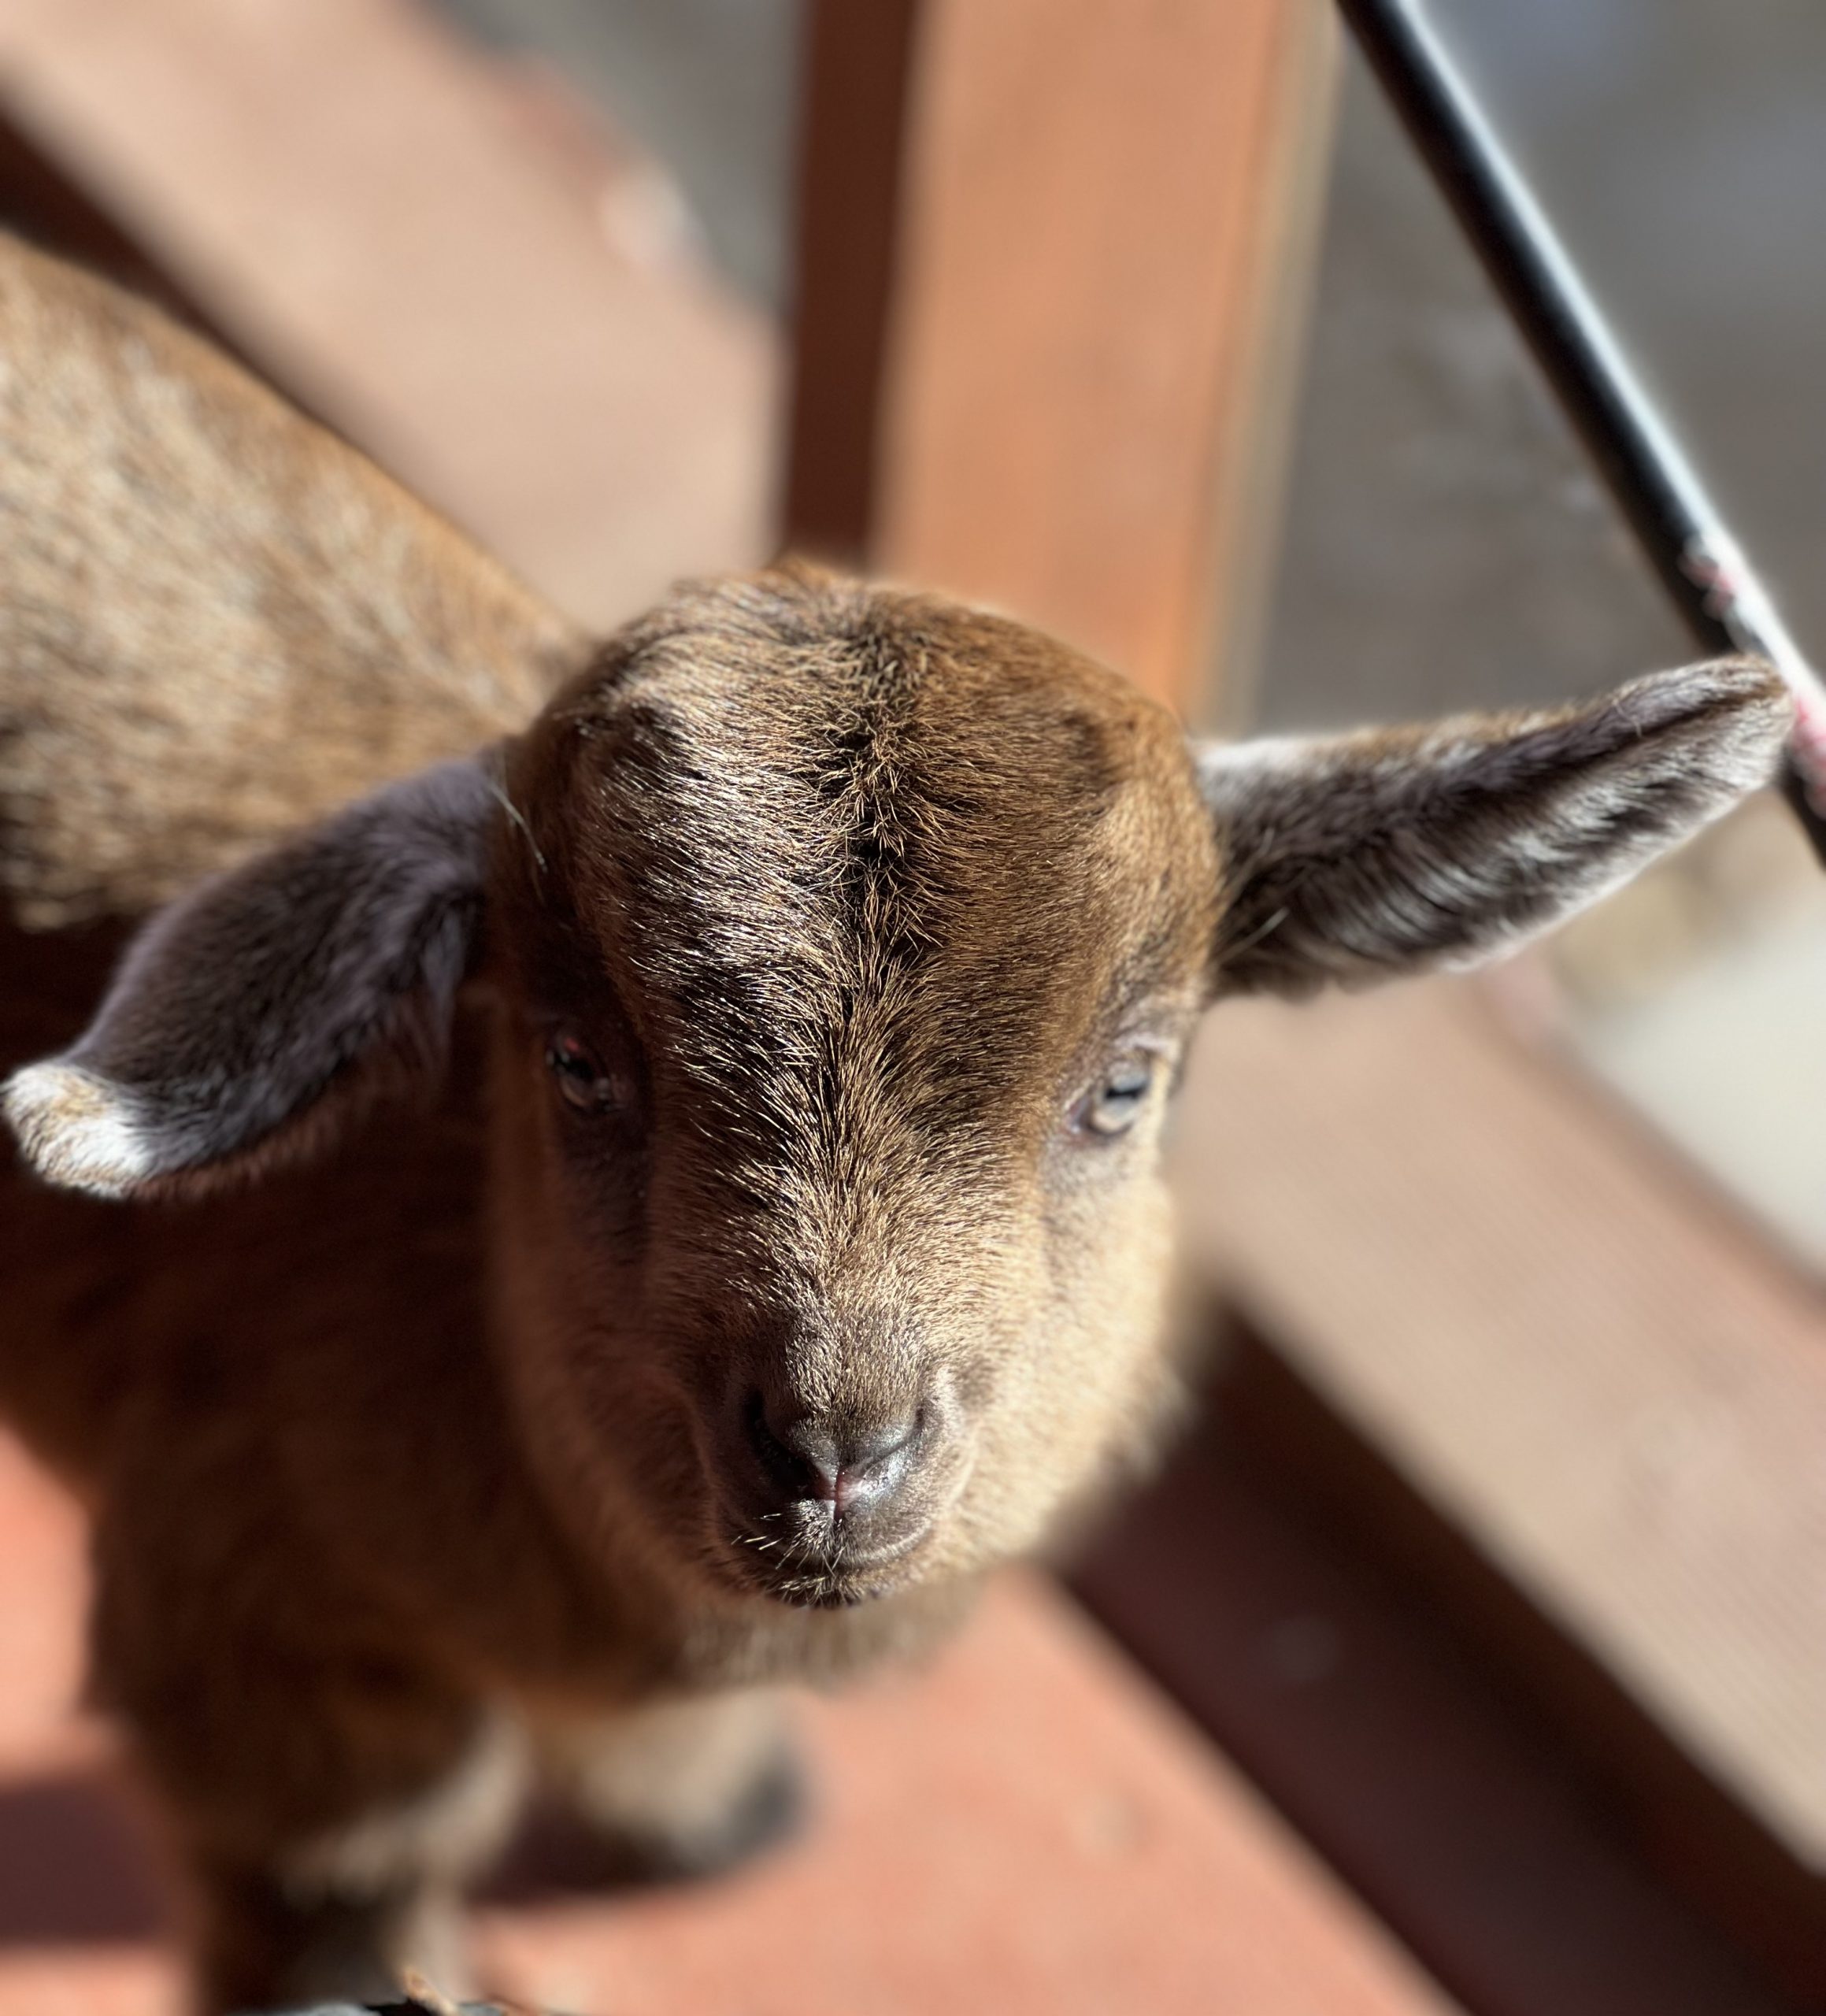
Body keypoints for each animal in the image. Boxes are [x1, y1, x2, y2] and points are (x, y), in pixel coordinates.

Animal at [0, 230, 1792, 2012]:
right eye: (575, 1063)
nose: (833, 1453)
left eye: (1123, 1085)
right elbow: (329, 1912)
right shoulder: (256, 1622)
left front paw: (709, 1811)